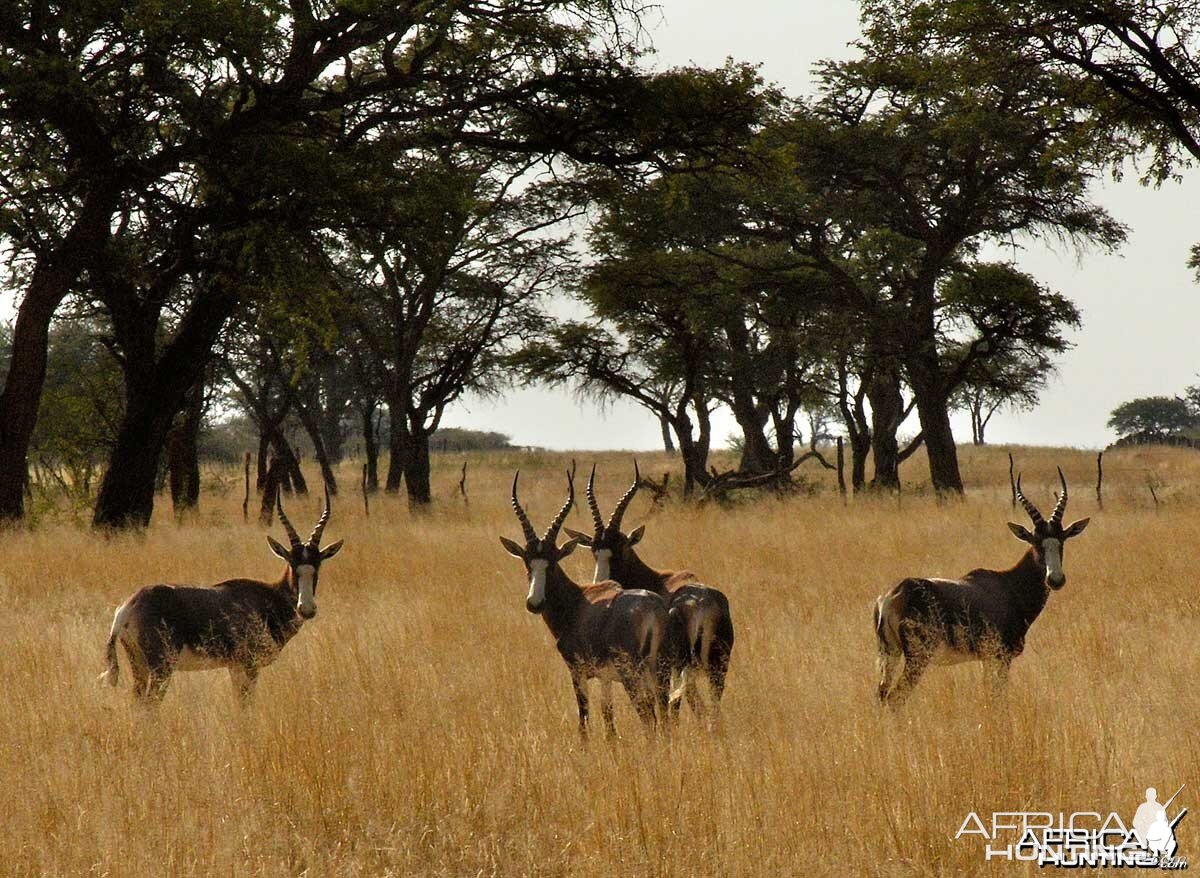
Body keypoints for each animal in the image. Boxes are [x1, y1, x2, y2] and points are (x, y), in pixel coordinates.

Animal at [99, 486, 345, 705]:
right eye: (293, 565)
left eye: (317, 565)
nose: (307, 609)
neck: (266, 597)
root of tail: (127, 608)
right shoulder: (249, 666)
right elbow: (246, 705)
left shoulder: (234, 667)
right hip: (161, 667)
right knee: (150, 704)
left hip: (138, 664)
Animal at [496, 470, 676, 738]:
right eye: (528, 563)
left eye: (553, 562)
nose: (534, 603)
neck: (578, 602)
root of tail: (652, 609)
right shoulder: (605, 677)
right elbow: (608, 718)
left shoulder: (578, 671)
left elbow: (583, 719)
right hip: (660, 672)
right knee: (663, 715)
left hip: (633, 675)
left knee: (648, 716)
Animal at [566, 460, 734, 719]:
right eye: (594, 549)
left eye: (621, 548)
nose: (601, 584)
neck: (659, 580)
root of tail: (703, 604)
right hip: (716, 667)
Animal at [873, 465, 1089, 705]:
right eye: (1035, 542)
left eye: (1061, 541)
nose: (1055, 579)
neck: (1007, 585)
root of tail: (893, 596)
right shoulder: (1002, 657)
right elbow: (998, 695)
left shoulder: (986, 658)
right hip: (916, 657)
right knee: (895, 698)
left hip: (889, 653)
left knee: (882, 694)